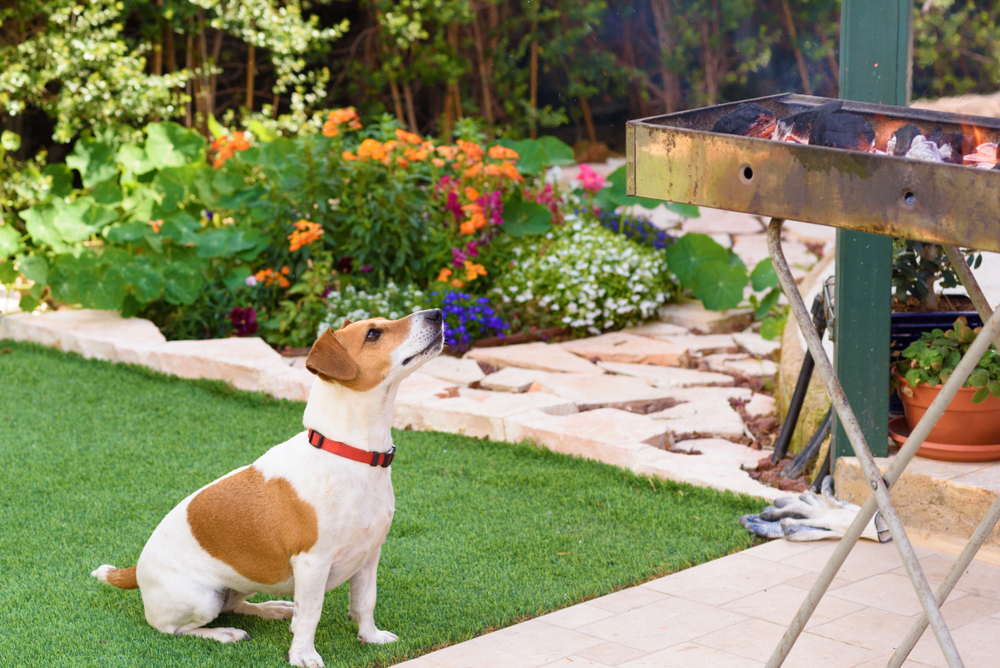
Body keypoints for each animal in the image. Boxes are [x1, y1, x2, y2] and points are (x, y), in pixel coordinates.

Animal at [94, 310, 446, 664]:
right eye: (373, 334)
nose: (436, 313)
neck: (348, 454)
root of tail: (135, 570)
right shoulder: (312, 562)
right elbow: (311, 613)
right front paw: (303, 655)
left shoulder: (369, 555)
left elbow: (364, 602)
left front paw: (370, 637)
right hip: (202, 598)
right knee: (175, 629)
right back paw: (224, 633)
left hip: (245, 579)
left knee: (236, 604)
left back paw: (271, 608)